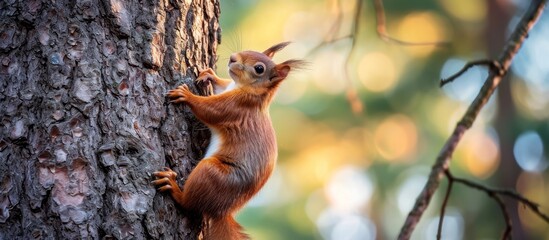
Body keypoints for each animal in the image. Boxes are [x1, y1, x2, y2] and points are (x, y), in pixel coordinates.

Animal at [152, 42, 304, 239]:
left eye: (259, 69)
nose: (233, 58)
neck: (246, 89)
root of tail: (222, 210)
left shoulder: (236, 107)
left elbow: (209, 109)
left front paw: (187, 96)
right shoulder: (228, 89)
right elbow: (221, 85)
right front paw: (209, 74)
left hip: (211, 174)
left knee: (189, 204)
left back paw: (173, 187)